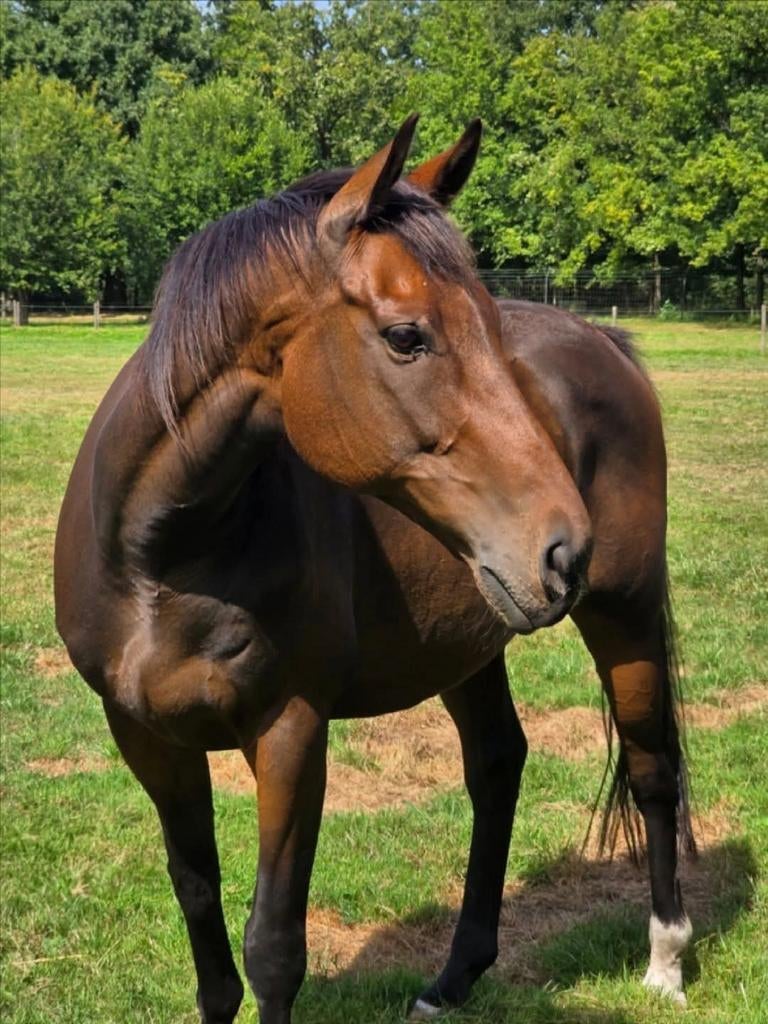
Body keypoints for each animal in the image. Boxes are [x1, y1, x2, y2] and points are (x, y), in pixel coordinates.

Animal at [54, 115, 695, 1024]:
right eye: (405, 336)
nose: (565, 547)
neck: (162, 560)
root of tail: (602, 342)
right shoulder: (145, 735)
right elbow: (202, 915)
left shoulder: (290, 732)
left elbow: (273, 946)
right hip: (473, 638)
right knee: (497, 766)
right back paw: (455, 976)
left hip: (624, 614)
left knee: (652, 770)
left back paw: (666, 959)